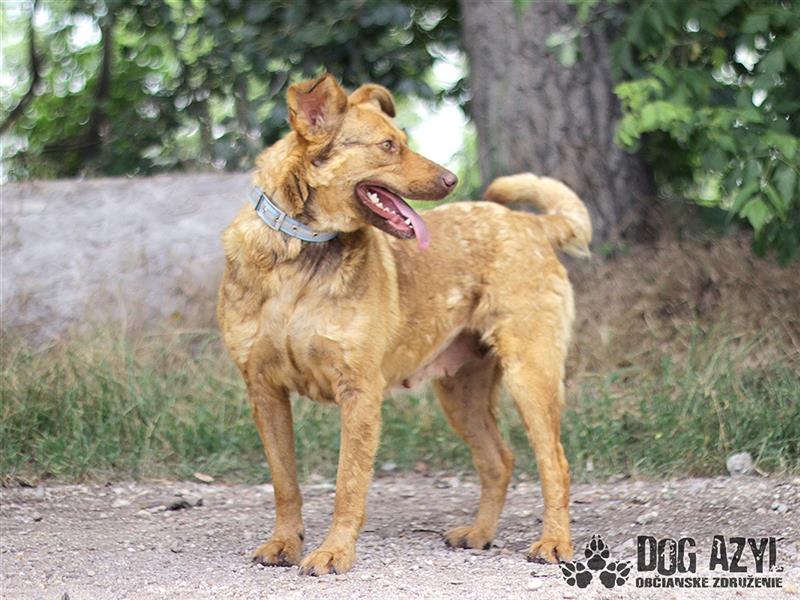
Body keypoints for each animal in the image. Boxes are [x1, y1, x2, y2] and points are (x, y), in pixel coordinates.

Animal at [216, 75, 592, 576]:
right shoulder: (264, 389)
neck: (301, 252)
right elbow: (284, 482)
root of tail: (531, 224)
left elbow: (348, 484)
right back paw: (480, 533)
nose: (452, 179)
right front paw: (283, 543)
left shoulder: (358, 390)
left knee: (556, 465)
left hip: (530, 375)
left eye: (402, 141)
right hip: (461, 392)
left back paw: (553, 542)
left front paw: (334, 552)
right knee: (500, 460)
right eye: (388, 146)